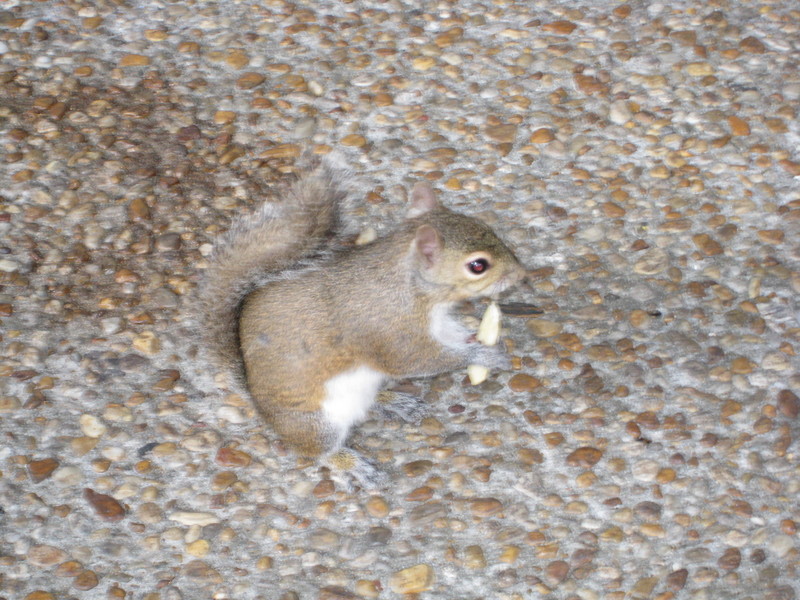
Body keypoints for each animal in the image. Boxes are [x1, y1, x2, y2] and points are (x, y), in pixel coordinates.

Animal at [199, 158, 524, 488]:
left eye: (486, 227)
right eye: (478, 266)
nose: (521, 275)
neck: (409, 285)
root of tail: (257, 400)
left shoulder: (434, 322)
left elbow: (450, 334)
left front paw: (481, 339)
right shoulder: (389, 331)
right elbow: (418, 360)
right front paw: (482, 355)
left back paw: (393, 401)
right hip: (316, 423)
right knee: (316, 451)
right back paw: (351, 463)